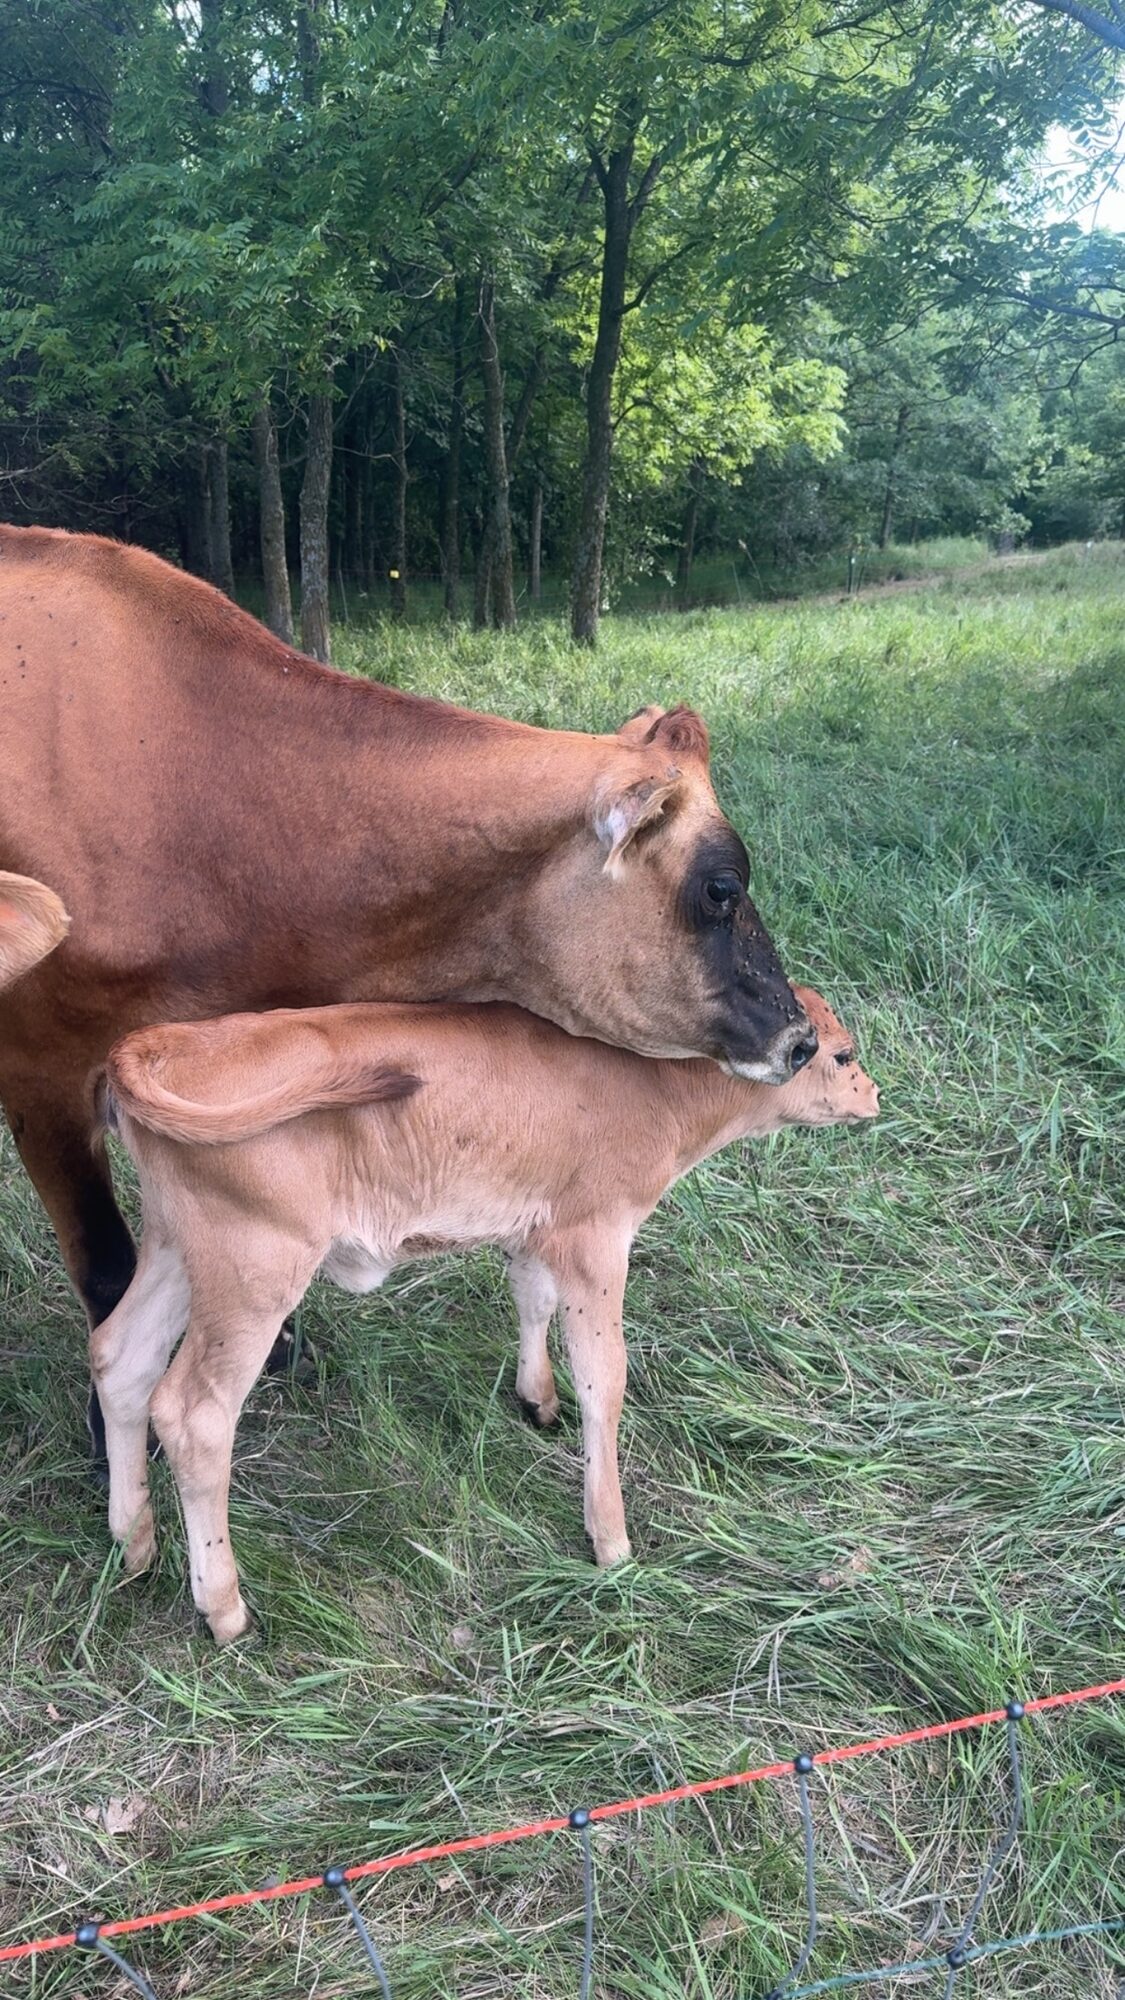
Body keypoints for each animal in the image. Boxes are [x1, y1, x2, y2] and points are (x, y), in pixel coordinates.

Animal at [0, 524, 815, 1465]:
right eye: (721, 887)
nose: (799, 1035)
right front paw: (113, 1436)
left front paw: (279, 1346)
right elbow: (105, 1259)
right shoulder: (40, 1069)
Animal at [93, 987, 878, 1642]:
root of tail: (167, 1042)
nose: (873, 1094)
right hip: (254, 1268)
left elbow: (532, 1299)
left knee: (119, 1358)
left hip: (176, 1245)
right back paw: (223, 1607)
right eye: (841, 1054)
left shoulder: (535, 1228)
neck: (655, 1088)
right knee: (194, 1415)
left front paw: (536, 1399)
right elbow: (604, 1378)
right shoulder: (596, 1236)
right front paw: (611, 1540)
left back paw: (133, 1540)